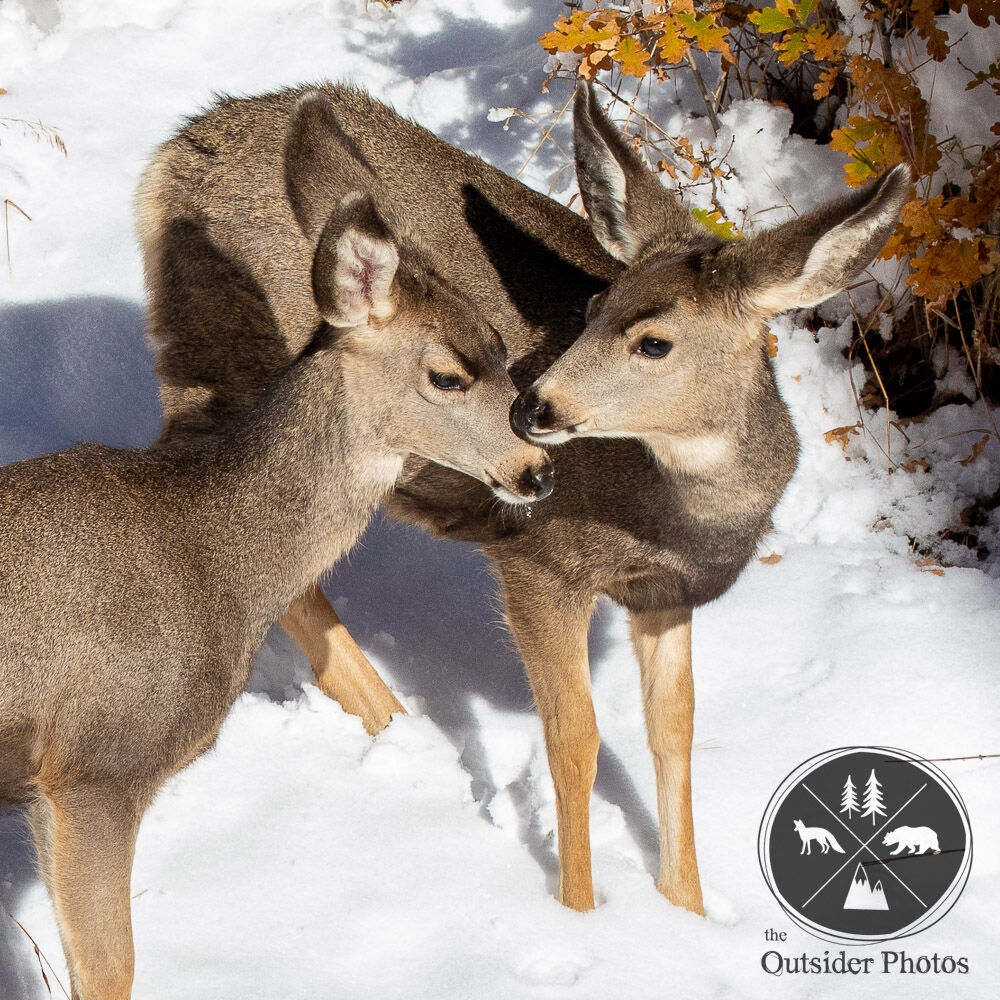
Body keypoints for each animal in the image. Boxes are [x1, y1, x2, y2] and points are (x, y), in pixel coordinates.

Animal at [0, 93, 553, 1000]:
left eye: (504, 349)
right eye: (448, 373)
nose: (536, 470)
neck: (215, 551)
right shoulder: (97, 765)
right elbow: (109, 968)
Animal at [136, 80, 910, 916]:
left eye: (654, 341)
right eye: (594, 306)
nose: (531, 405)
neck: (674, 515)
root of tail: (169, 159)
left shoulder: (667, 593)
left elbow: (674, 732)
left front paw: (687, 909)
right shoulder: (542, 560)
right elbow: (576, 740)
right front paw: (580, 911)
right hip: (224, 362)